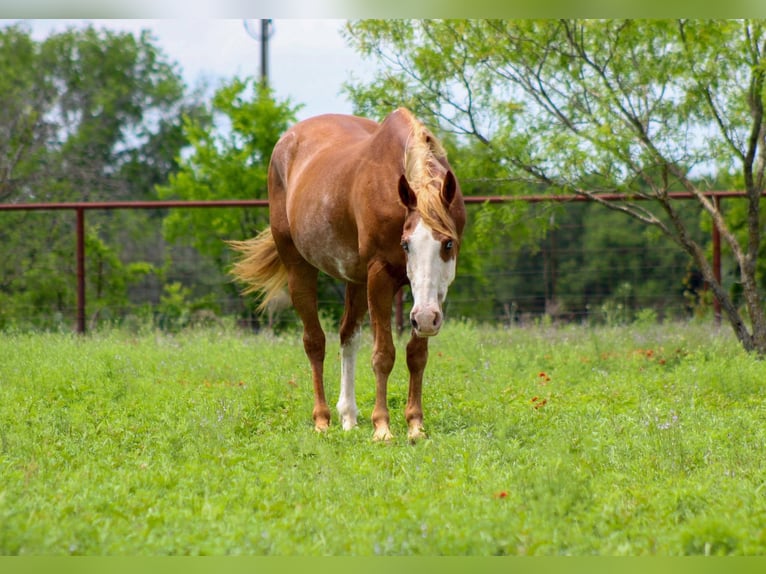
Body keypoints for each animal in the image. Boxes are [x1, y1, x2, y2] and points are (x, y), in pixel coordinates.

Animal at [229, 108, 466, 441]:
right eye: (406, 244)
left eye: (447, 243)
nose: (424, 319)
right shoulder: (380, 276)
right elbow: (383, 354)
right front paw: (382, 427)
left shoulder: (433, 294)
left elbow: (416, 354)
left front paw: (415, 424)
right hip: (299, 268)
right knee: (315, 342)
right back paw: (322, 419)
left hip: (357, 281)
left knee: (347, 335)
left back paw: (349, 417)